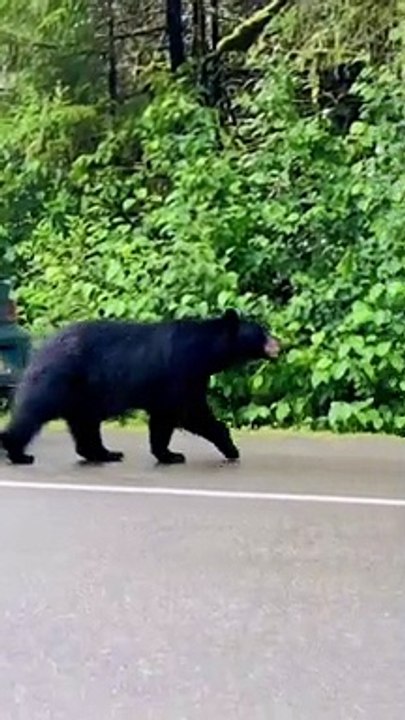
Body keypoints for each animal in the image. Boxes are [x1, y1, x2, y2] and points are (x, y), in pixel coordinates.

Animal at [0, 309, 280, 466]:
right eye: (262, 332)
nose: (279, 343)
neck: (204, 352)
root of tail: (43, 346)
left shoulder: (186, 380)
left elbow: (165, 418)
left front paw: (167, 454)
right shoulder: (180, 373)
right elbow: (188, 413)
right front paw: (227, 447)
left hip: (84, 395)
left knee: (85, 425)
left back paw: (105, 453)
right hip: (59, 380)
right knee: (33, 413)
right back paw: (18, 452)